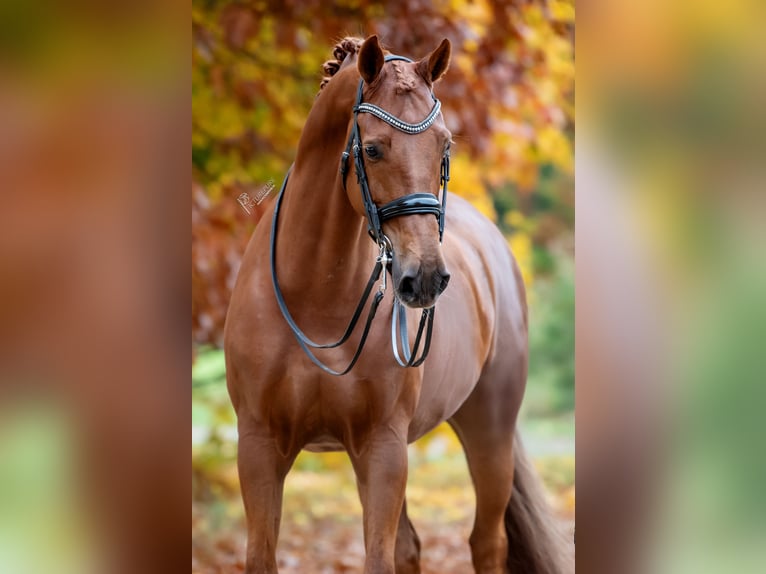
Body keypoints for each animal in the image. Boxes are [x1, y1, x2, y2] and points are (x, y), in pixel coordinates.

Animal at [224, 35, 571, 574]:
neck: (314, 303)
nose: (425, 278)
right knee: (411, 547)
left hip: (488, 431)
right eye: (372, 148)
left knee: (487, 542)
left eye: (445, 145)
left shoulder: (382, 448)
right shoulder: (258, 448)